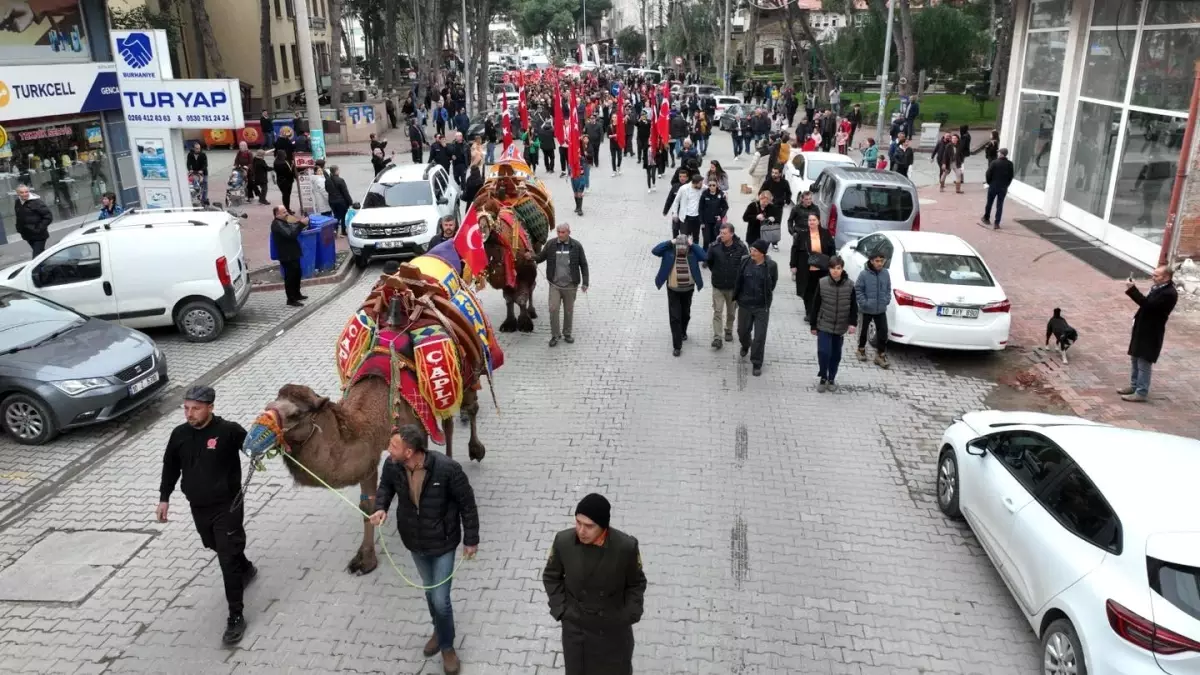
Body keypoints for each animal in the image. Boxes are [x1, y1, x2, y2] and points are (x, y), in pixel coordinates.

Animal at [250, 379, 484, 571]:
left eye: (295, 414)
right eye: (267, 407)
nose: (253, 437)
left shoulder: (412, 429)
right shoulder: (368, 458)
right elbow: (367, 505)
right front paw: (365, 559)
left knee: (463, 410)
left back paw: (474, 450)